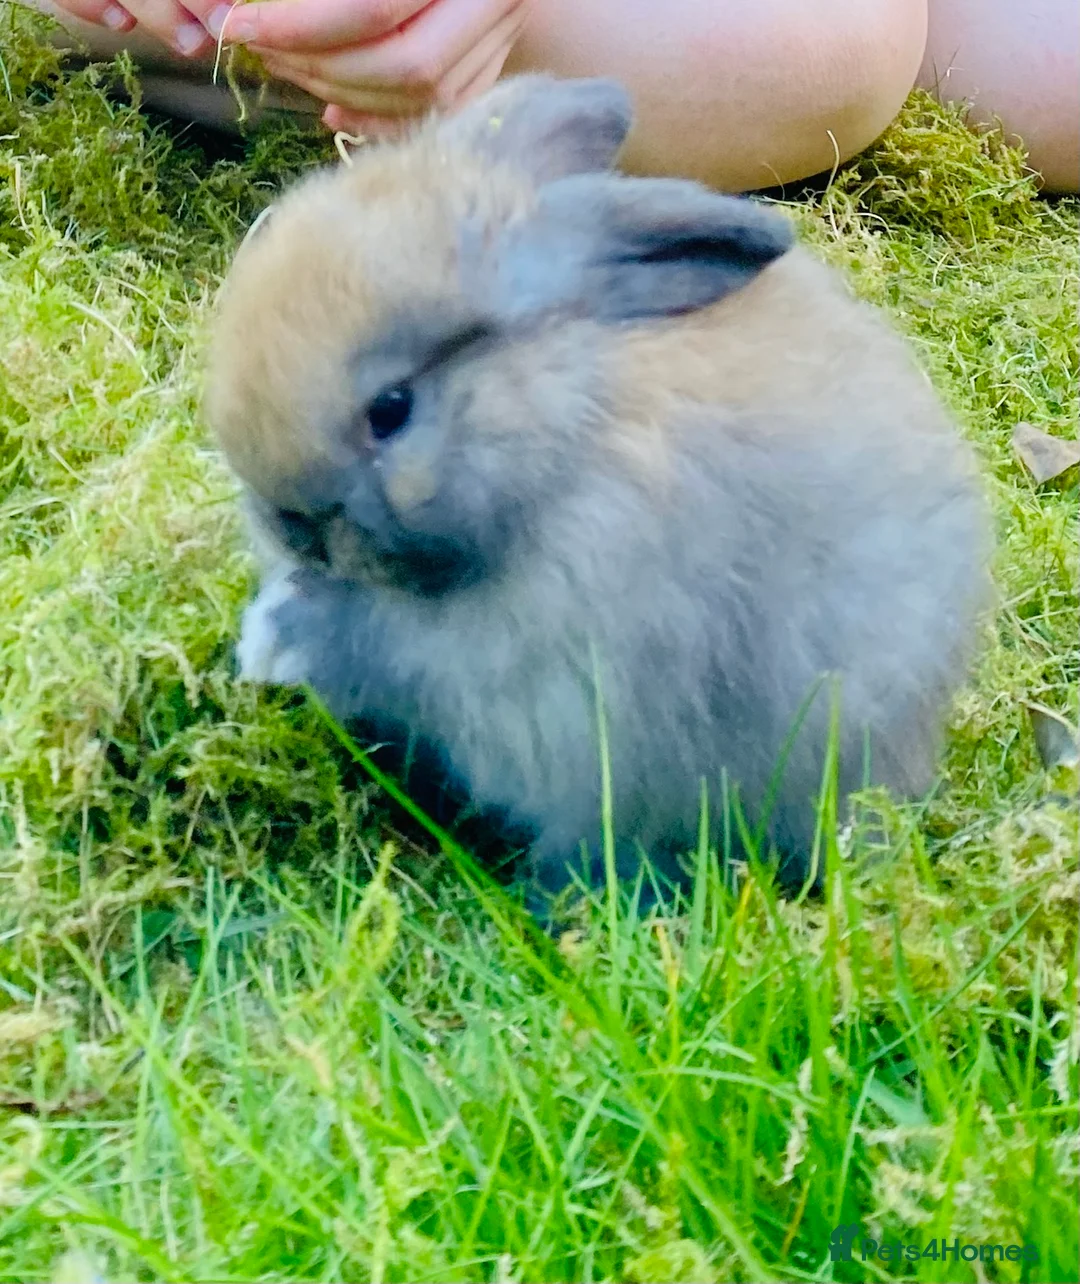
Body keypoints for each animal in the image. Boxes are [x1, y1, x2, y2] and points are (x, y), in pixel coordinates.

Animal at [204, 74, 993, 914]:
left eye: (391, 408)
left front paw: (274, 636)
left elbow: (381, 642)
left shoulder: (520, 660)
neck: (561, 428)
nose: (288, 524)